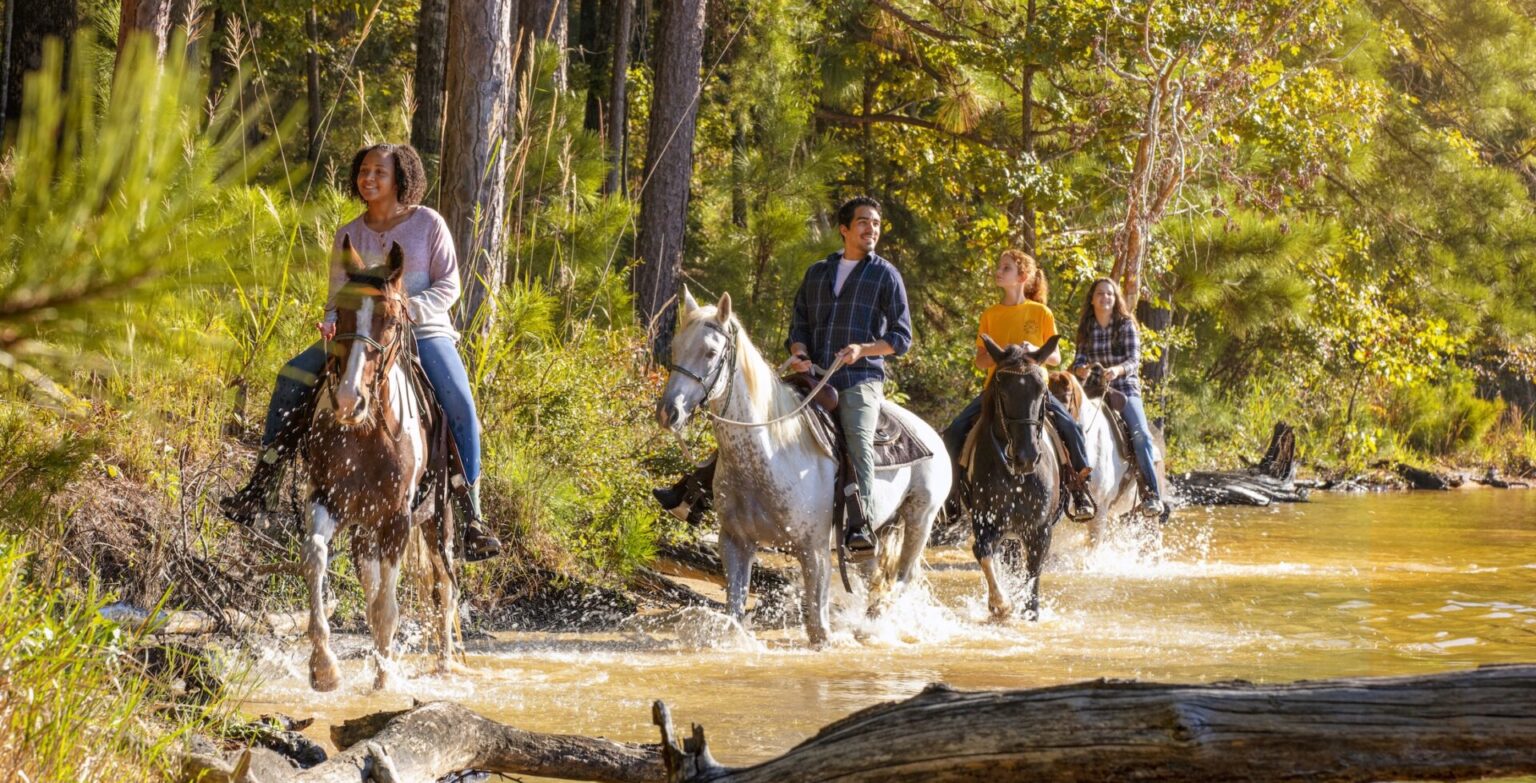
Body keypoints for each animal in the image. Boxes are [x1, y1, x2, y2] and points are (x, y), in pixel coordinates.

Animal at [299, 237, 454, 690]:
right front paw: (324, 669)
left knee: (445, 588)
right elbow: (315, 557)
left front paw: (384, 686)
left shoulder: (397, 520)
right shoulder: (328, 500)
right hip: (363, 532)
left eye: (389, 318)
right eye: (340, 312)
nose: (349, 401)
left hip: (438, 521)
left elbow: (388, 609)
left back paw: (444, 665)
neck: (366, 434)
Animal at [651, 290, 946, 644]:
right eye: (676, 346)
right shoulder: (735, 542)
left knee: (903, 575)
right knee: (874, 573)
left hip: (920, 518)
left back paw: (875, 620)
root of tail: (931, 433)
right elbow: (734, 614)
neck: (771, 454)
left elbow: (819, 629)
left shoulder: (814, 549)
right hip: (878, 531)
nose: (669, 412)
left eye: (710, 352)